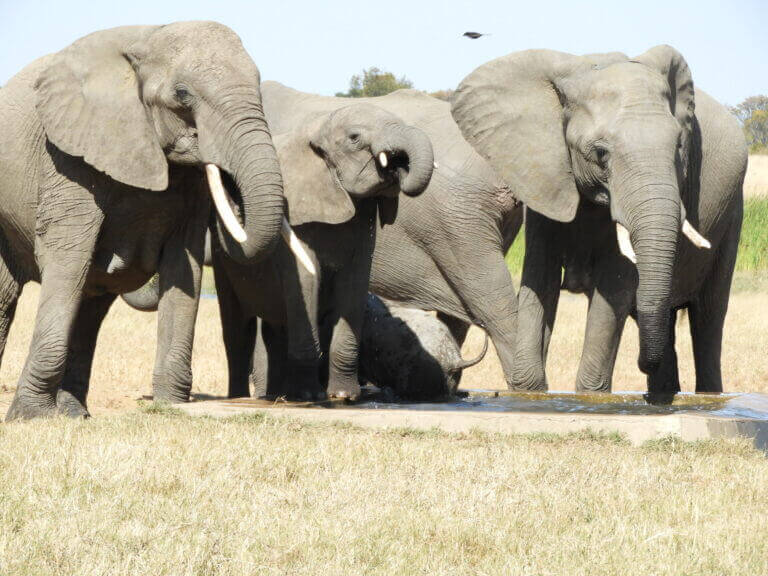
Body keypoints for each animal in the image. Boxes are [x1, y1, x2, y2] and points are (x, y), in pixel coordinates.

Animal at [0, 22, 311, 419]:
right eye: (182, 94)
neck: (147, 37)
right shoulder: (67, 157)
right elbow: (68, 256)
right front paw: (32, 417)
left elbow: (183, 267)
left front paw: (172, 405)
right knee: (10, 296)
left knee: (88, 307)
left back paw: (76, 414)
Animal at [451, 45, 747, 395]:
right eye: (601, 153)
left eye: (679, 147)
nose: (642, 362)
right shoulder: (545, 176)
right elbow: (540, 280)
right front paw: (528, 391)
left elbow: (614, 285)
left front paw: (591, 395)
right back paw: (663, 394)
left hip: (733, 212)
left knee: (709, 317)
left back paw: (707, 394)